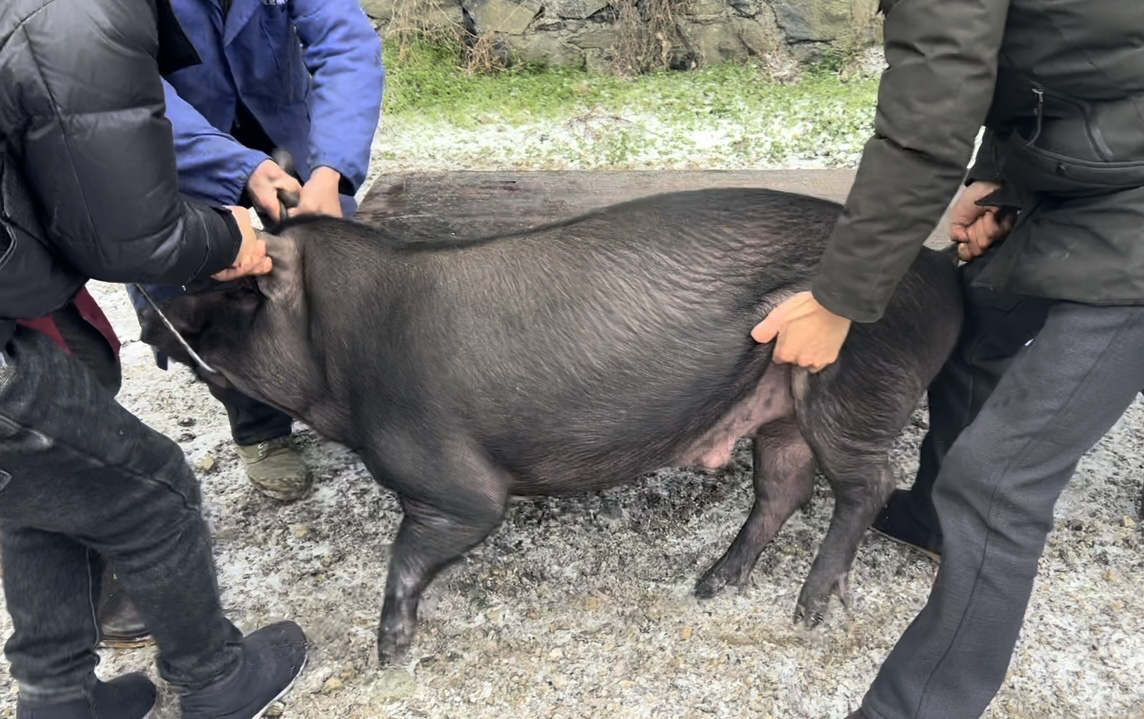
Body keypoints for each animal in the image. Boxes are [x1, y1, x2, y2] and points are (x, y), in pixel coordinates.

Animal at [140, 184, 965, 664]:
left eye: (237, 290)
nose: (158, 309)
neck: (341, 351)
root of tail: (941, 275)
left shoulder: (452, 485)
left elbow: (415, 549)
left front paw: (388, 653)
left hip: (853, 382)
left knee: (869, 483)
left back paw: (808, 611)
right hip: (778, 406)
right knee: (786, 486)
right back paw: (710, 585)